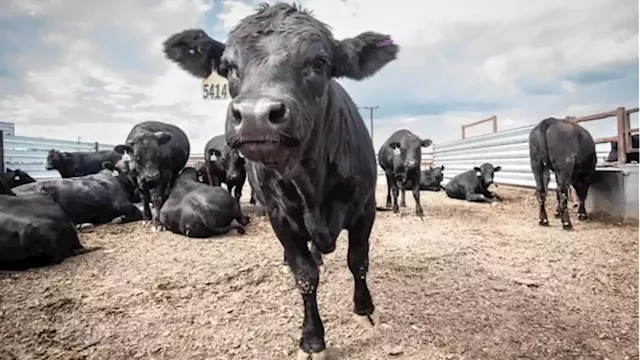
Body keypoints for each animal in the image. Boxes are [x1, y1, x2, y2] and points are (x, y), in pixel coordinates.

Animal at [162, 2, 398, 358]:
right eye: (228, 67)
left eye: (319, 62)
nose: (256, 116)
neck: (312, 185)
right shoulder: (280, 217)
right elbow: (305, 276)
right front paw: (313, 339)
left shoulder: (364, 209)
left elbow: (357, 262)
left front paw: (365, 309)